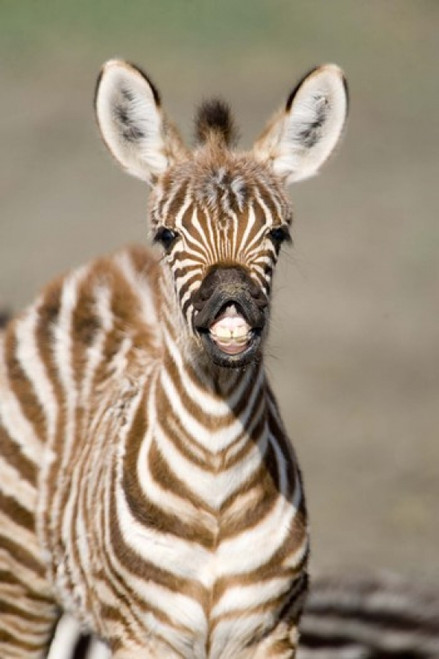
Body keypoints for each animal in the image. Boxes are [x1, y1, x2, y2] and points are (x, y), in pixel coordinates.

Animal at [0, 59, 348, 657]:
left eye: (278, 234)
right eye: (168, 235)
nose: (231, 299)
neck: (216, 472)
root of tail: (109, 263)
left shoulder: (271, 632)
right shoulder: (144, 634)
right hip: (20, 580)